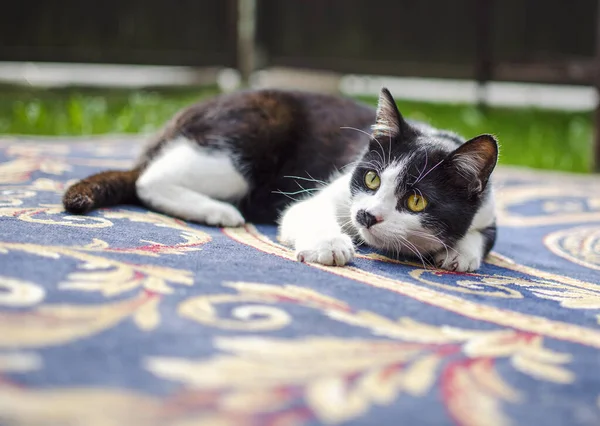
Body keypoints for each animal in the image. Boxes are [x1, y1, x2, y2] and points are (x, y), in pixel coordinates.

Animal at [63, 88, 500, 272]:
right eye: (372, 178)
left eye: (416, 200)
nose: (365, 217)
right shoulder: (333, 191)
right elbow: (305, 212)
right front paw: (329, 244)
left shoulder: (489, 209)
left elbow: (483, 235)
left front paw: (460, 254)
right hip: (247, 139)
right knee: (147, 180)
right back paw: (218, 211)